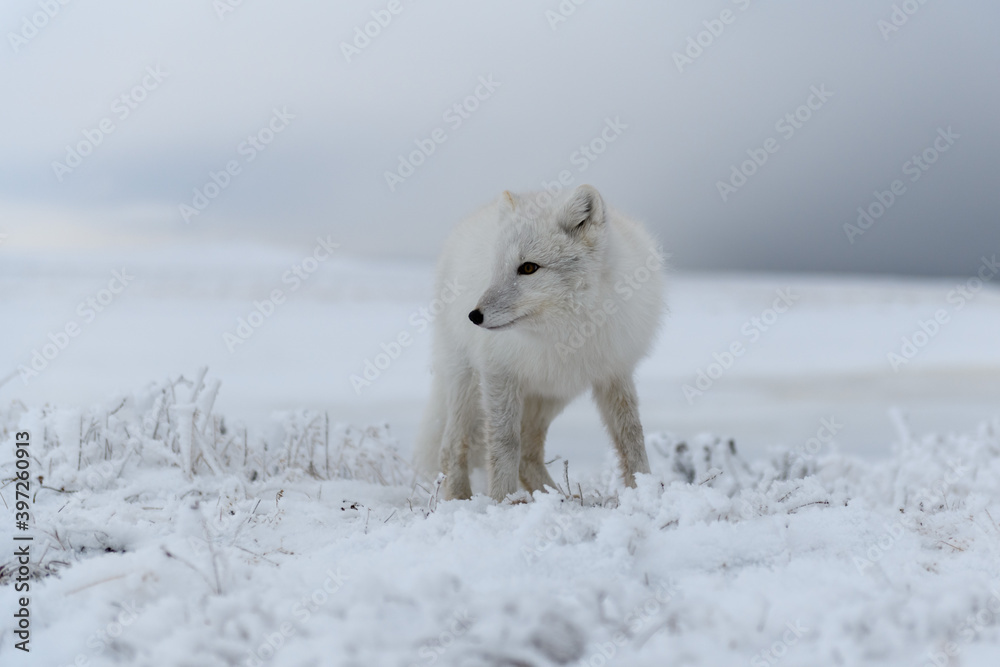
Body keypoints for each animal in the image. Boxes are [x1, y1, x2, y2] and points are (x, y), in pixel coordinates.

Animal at [415, 184, 665, 502]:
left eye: (529, 268)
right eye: (496, 268)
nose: (474, 316)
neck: (565, 331)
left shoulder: (614, 372)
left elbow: (631, 435)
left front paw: (645, 491)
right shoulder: (498, 373)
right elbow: (504, 444)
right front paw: (502, 502)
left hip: (550, 395)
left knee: (528, 456)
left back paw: (559, 498)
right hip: (467, 384)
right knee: (451, 448)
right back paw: (461, 501)